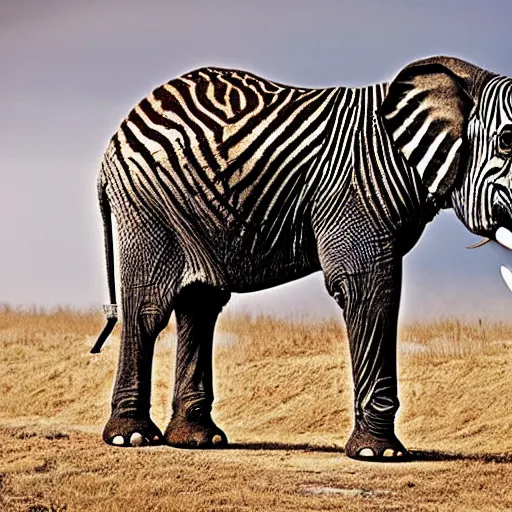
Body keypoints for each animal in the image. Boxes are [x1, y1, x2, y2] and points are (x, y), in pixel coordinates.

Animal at [93, 55, 512, 460]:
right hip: (147, 206)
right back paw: (132, 438)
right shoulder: (353, 190)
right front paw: (379, 454)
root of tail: (110, 149)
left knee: (201, 305)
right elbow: (368, 289)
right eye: (507, 141)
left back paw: (198, 440)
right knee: (150, 307)